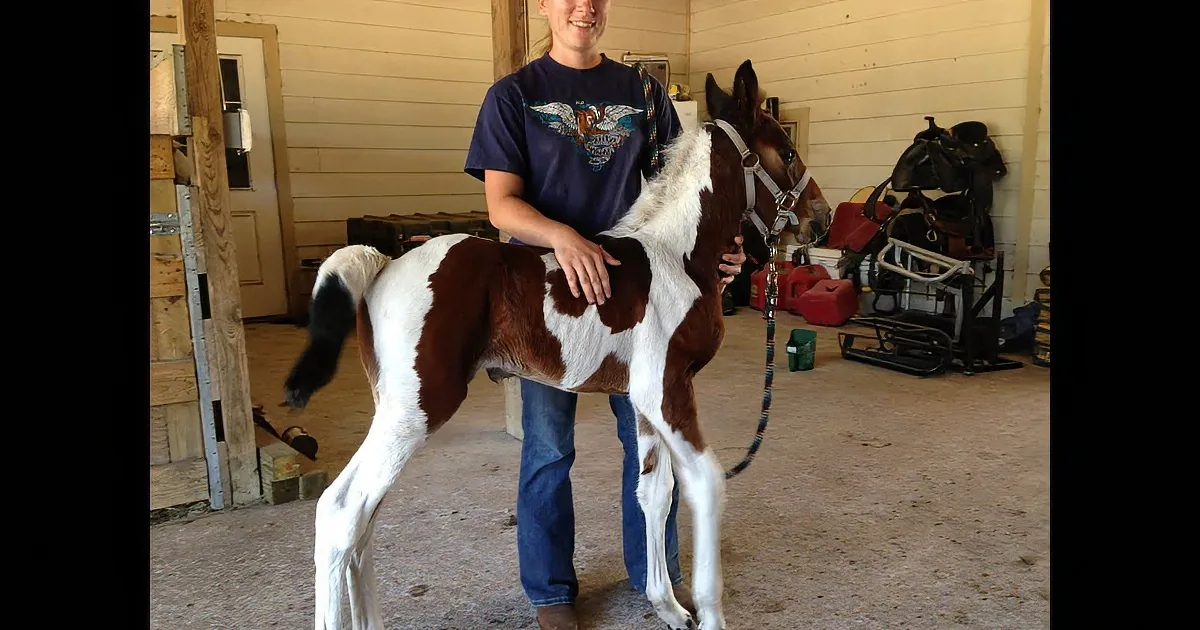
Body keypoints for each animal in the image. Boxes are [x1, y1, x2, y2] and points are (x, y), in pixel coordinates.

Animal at [283, 59, 828, 630]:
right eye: (787, 152)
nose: (823, 217)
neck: (677, 256)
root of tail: (384, 264)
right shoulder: (666, 390)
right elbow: (707, 484)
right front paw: (705, 611)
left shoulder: (644, 400)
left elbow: (654, 493)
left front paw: (669, 607)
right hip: (414, 410)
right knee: (342, 513)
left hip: (394, 410)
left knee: (364, 521)